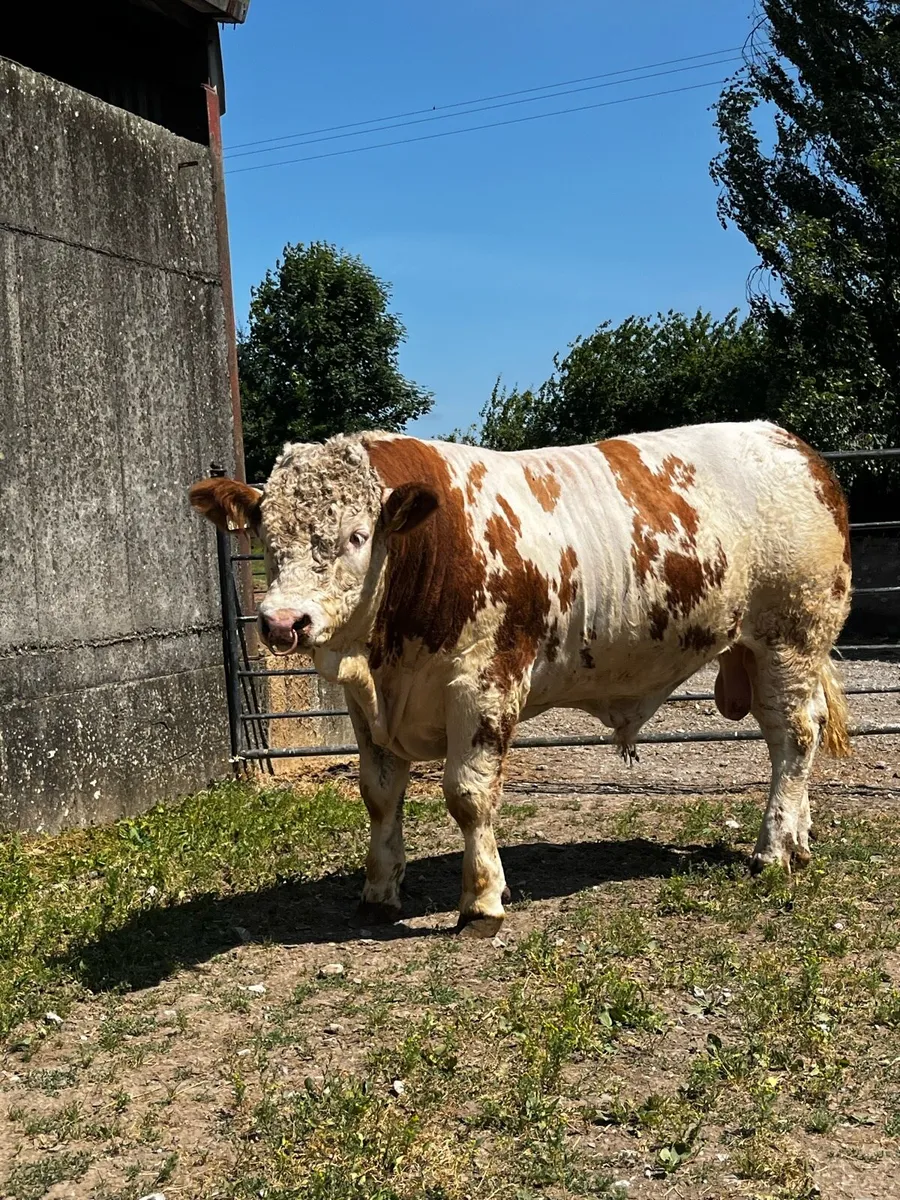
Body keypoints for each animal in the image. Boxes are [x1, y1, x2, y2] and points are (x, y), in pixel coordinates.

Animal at [190, 421, 852, 937]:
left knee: (795, 736)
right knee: (790, 737)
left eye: (356, 535)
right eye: (266, 537)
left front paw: (482, 900)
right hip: (764, 653)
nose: (282, 622)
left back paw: (772, 851)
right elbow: (378, 793)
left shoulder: (484, 683)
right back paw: (798, 838)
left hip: (791, 634)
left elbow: (468, 794)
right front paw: (379, 892)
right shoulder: (367, 704)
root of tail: (794, 446)